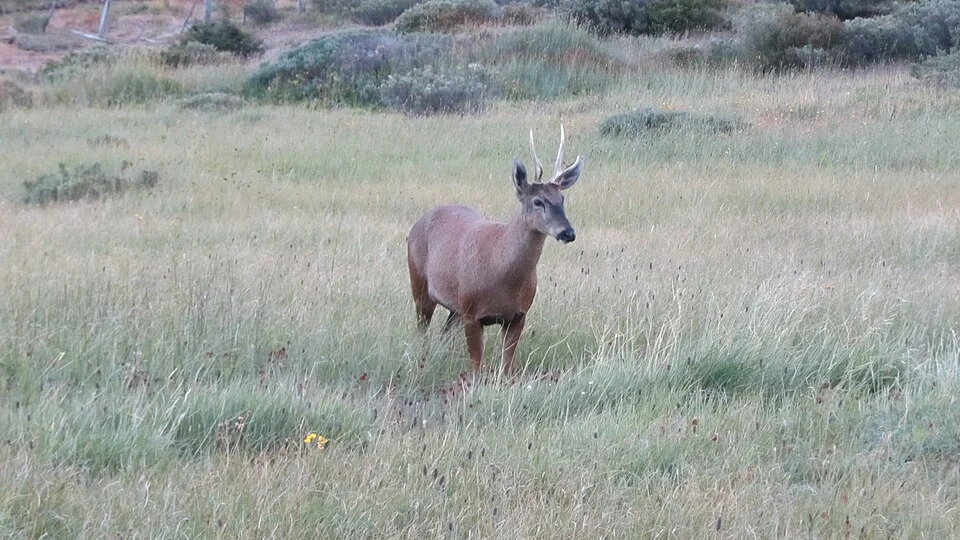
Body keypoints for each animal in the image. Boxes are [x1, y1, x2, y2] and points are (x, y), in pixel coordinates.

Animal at [406, 125, 584, 374]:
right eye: (538, 201)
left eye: (562, 198)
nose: (568, 232)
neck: (501, 271)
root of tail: (419, 222)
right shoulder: (472, 312)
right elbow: (478, 367)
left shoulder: (518, 315)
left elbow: (508, 367)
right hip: (420, 284)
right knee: (422, 330)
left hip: (455, 306)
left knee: (444, 332)